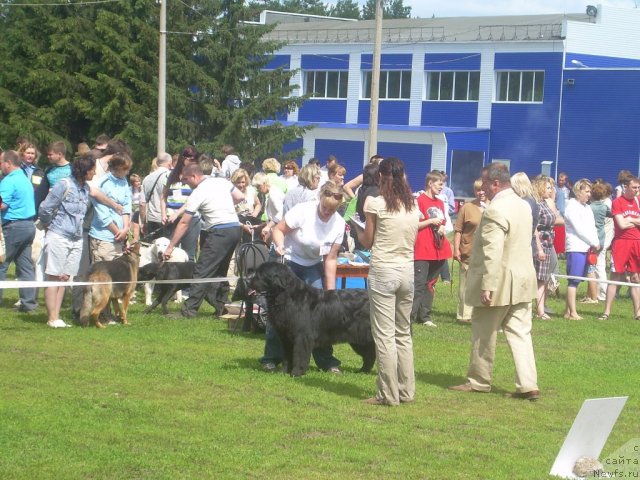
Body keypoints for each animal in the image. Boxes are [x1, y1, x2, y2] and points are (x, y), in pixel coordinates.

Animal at [246, 260, 376, 376]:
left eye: (260, 274)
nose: (246, 280)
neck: (286, 297)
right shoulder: (286, 337)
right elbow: (287, 356)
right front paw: (284, 372)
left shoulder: (302, 336)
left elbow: (299, 355)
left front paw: (296, 373)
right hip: (360, 339)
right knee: (369, 356)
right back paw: (362, 371)